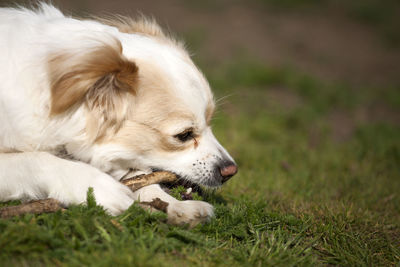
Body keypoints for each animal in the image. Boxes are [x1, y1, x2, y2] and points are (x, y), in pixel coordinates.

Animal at [0, 3, 238, 227]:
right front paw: (99, 187)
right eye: (184, 135)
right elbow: (36, 159)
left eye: (210, 123)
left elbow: (140, 178)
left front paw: (176, 206)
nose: (231, 170)